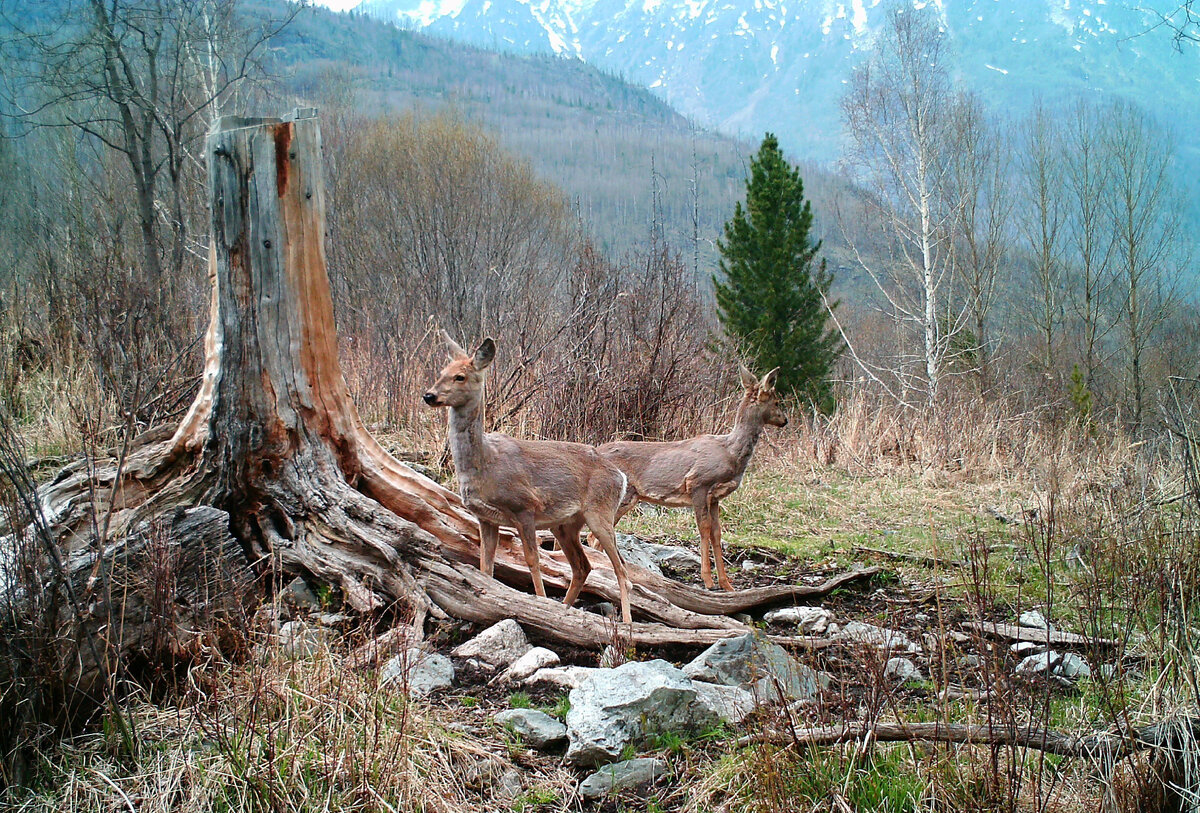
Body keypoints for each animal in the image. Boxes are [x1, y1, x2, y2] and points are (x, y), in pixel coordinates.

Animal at [422, 333, 633, 628]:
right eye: (441, 372)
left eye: (460, 376)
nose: (429, 395)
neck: (485, 464)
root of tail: (620, 476)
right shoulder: (485, 518)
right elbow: (485, 565)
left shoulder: (524, 507)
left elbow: (532, 561)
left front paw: (540, 605)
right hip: (565, 524)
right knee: (583, 566)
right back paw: (565, 609)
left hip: (599, 511)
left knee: (621, 570)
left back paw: (626, 622)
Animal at [597, 366, 787, 592]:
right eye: (776, 401)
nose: (785, 421)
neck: (730, 452)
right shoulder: (698, 483)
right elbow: (703, 529)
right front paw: (708, 581)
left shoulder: (715, 497)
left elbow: (716, 533)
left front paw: (727, 584)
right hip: (623, 496)